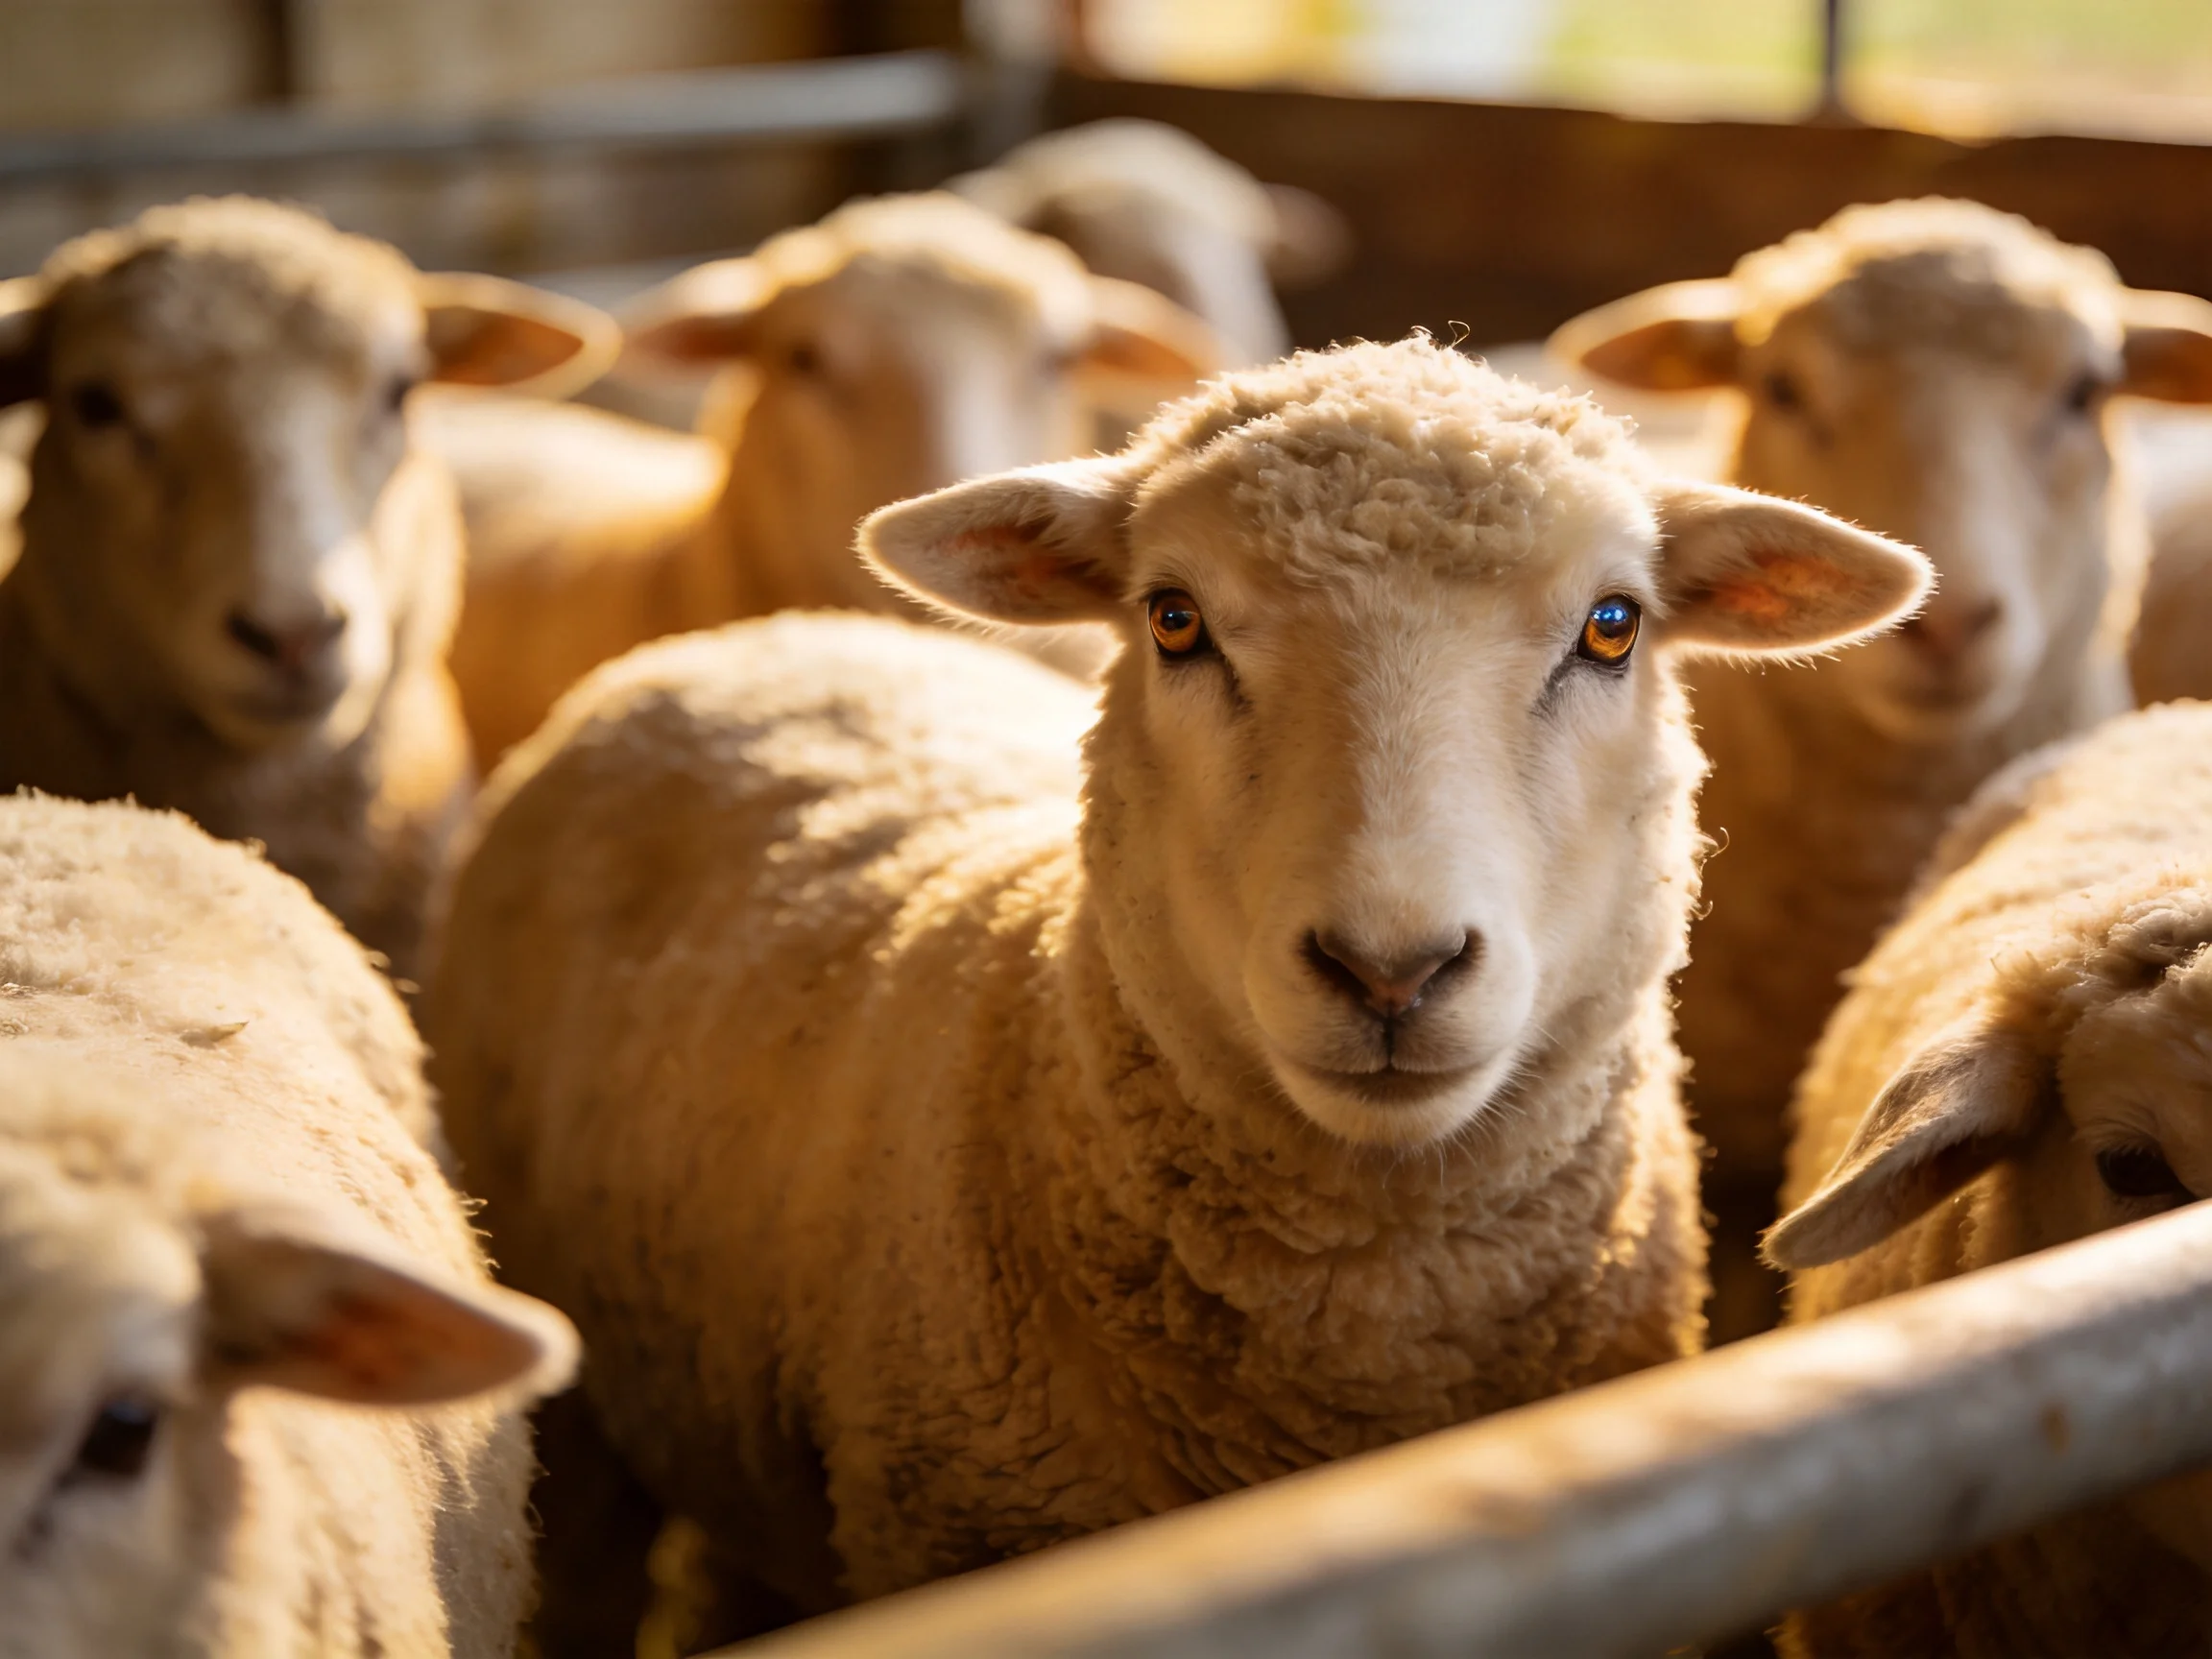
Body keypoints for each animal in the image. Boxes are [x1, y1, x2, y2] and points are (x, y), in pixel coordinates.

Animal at [424, 336, 1931, 1613]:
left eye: (1613, 625)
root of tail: (763, 636)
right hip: (581, 1414)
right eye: (1173, 619)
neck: (1369, 1337)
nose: (1390, 968)